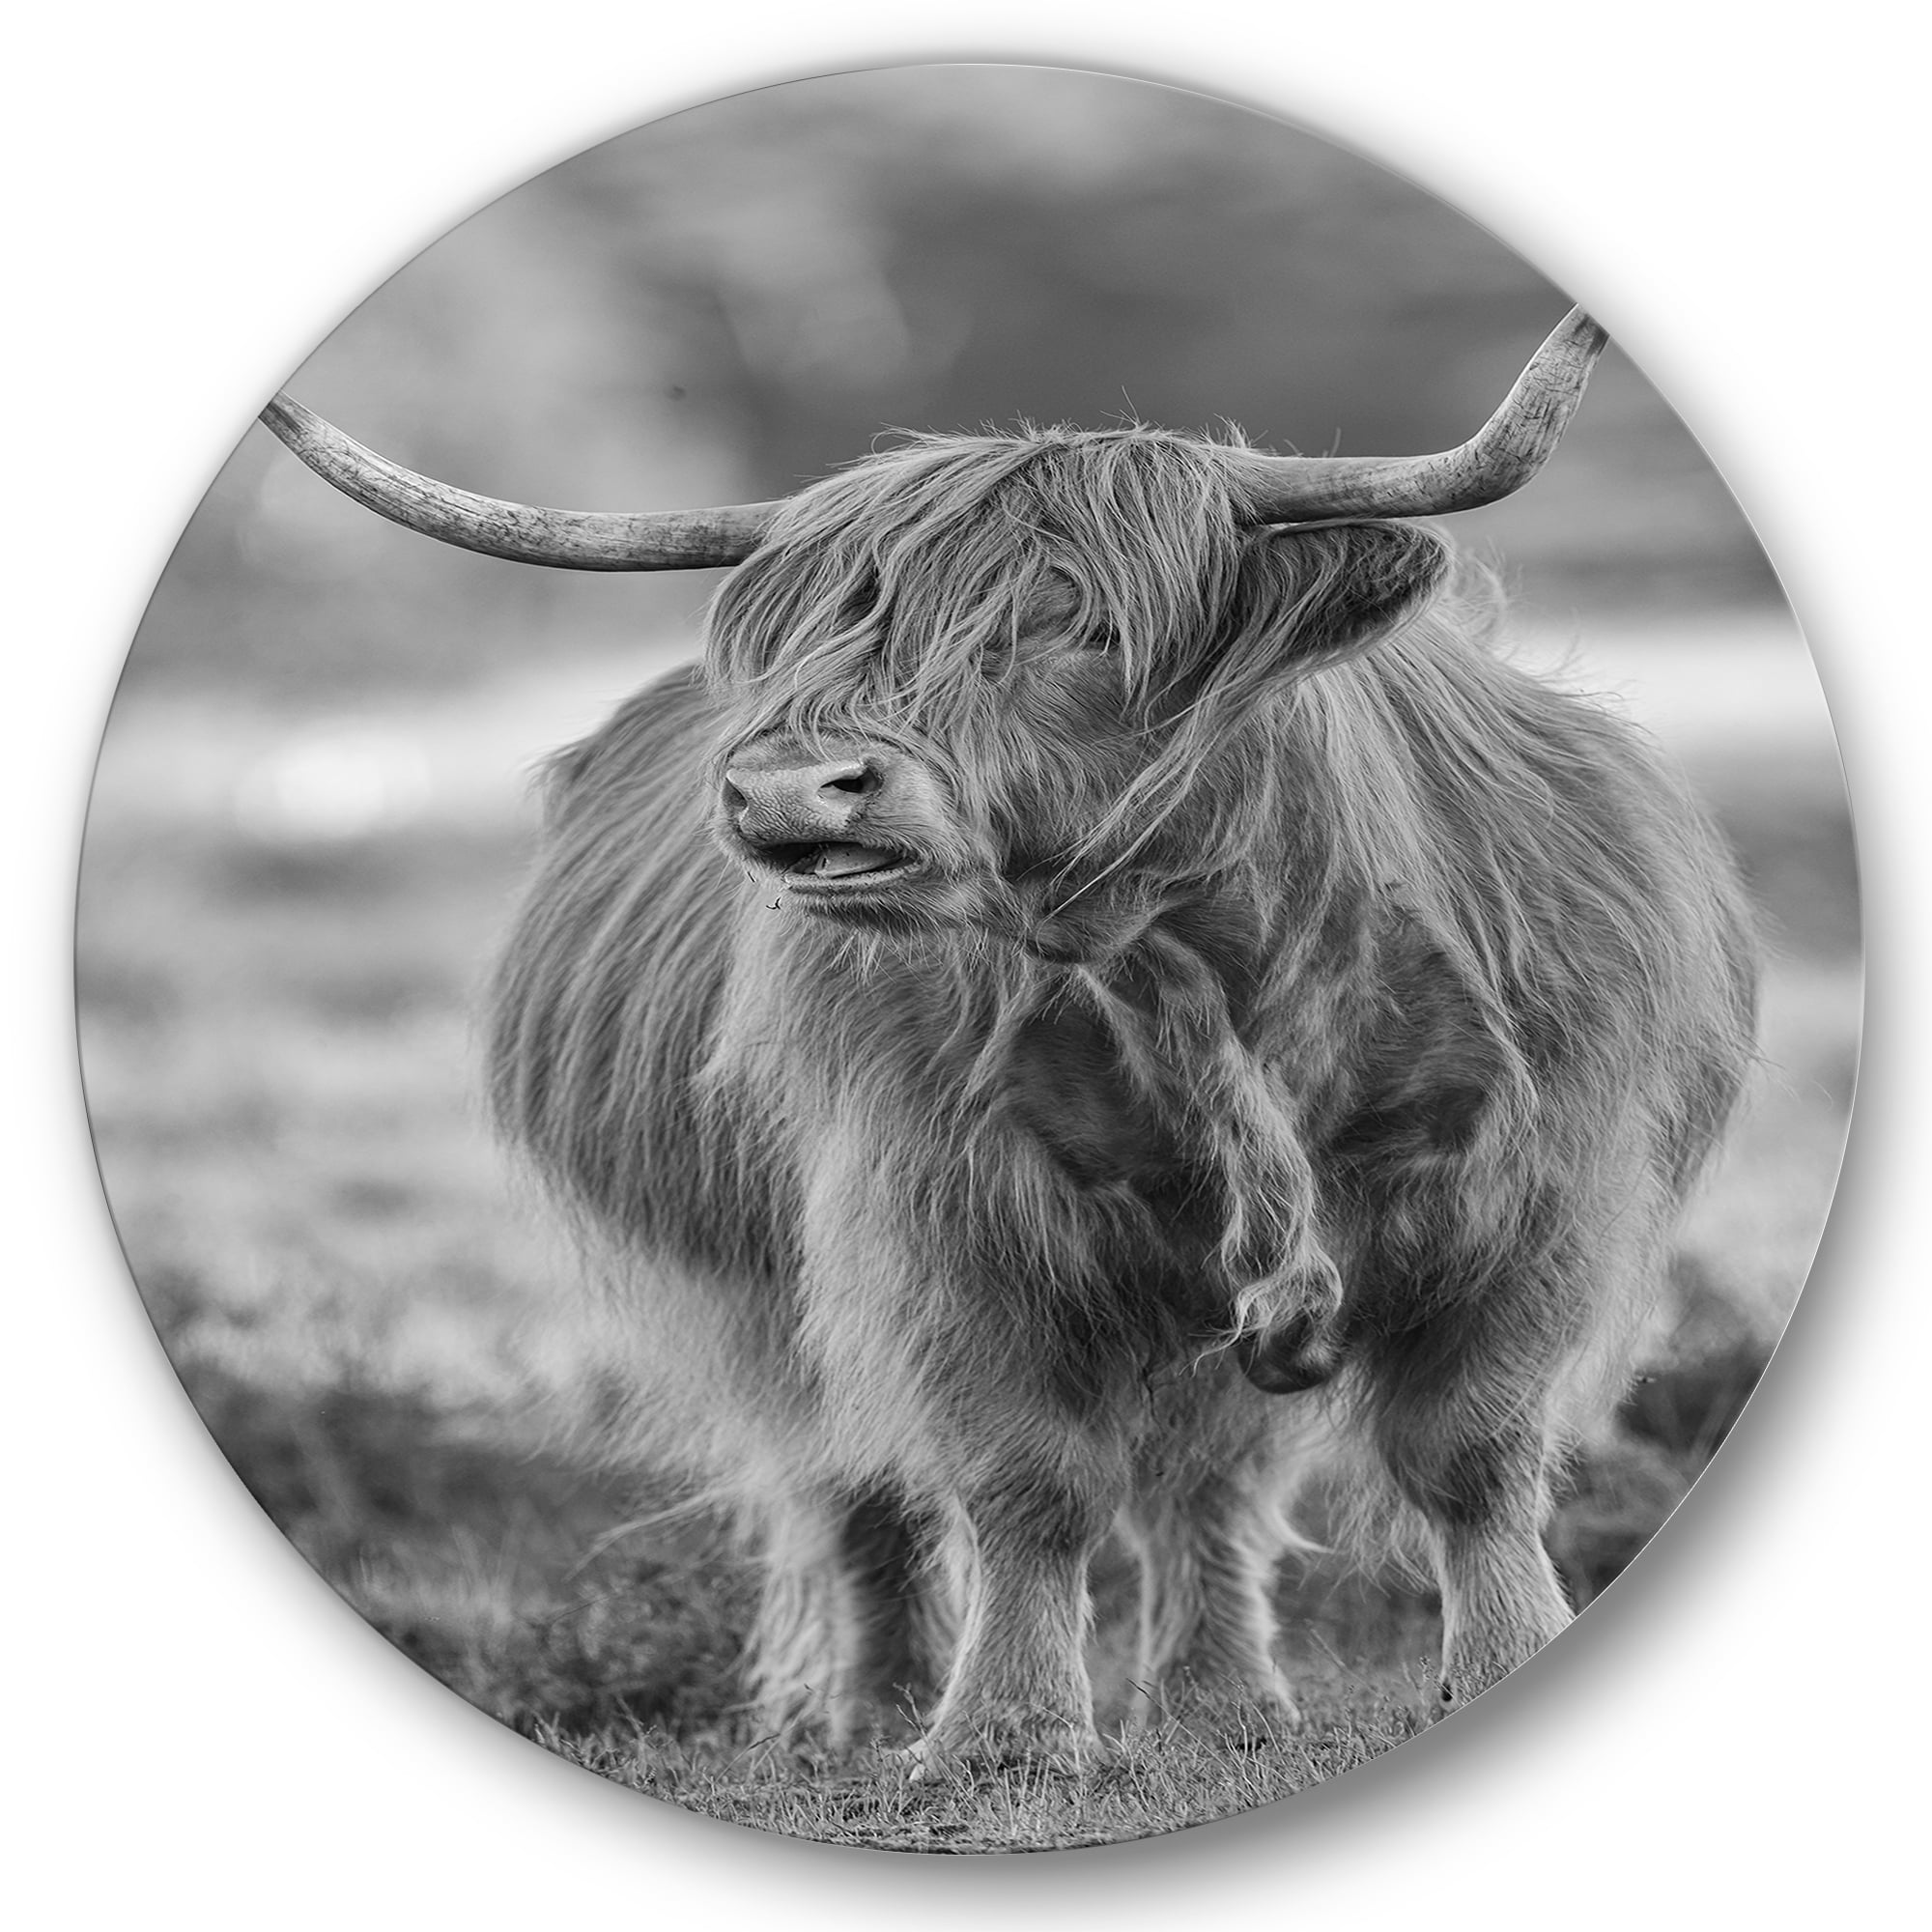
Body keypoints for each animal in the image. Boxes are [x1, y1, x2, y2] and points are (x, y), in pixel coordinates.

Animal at [261, 309, 1759, 1769]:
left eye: (1080, 621)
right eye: (810, 635)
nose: (786, 785)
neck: (1203, 970)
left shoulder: (1535, 1188)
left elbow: (1471, 1452)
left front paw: (1505, 1661)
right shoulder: (947, 1214)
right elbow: (1024, 1481)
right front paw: (1003, 1733)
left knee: (1205, 1477)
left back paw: (1222, 1701)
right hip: (773, 1293)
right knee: (859, 1479)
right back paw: (874, 1710)